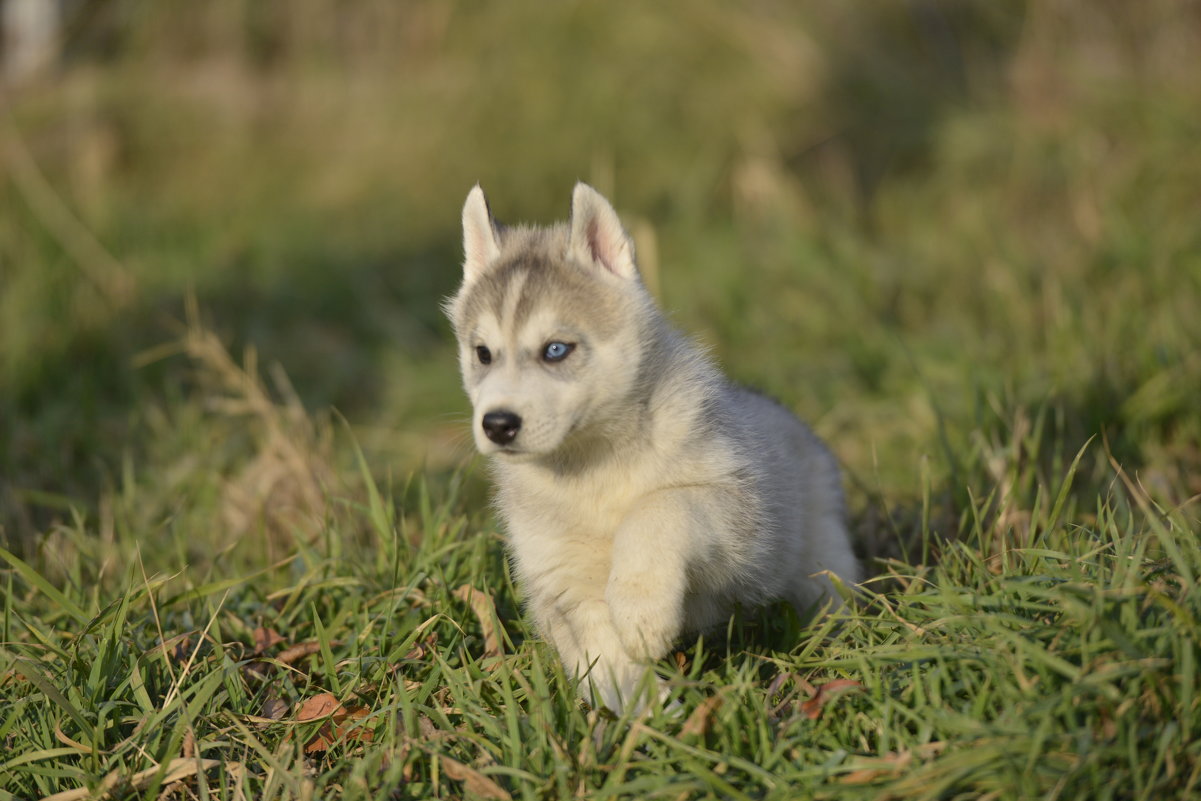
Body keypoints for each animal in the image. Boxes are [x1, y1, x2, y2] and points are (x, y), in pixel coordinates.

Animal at [446, 184, 859, 710]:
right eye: (483, 353)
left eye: (555, 349)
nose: (497, 424)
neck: (590, 470)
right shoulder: (560, 581)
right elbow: (604, 656)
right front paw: (652, 716)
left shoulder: (738, 515)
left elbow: (658, 509)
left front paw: (641, 612)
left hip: (821, 562)